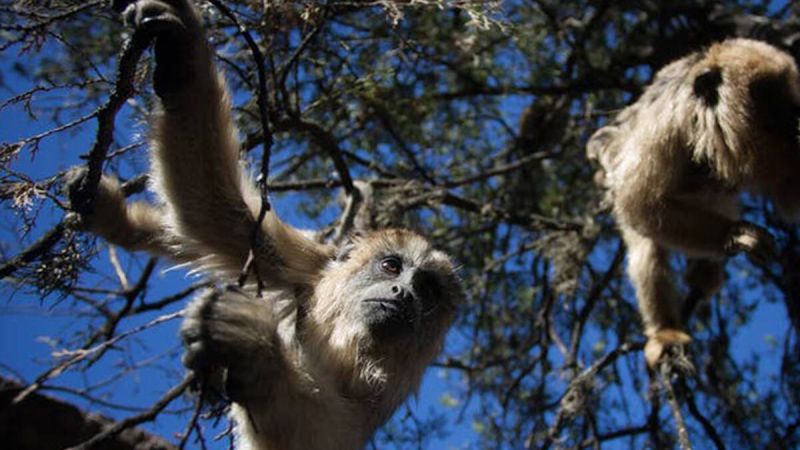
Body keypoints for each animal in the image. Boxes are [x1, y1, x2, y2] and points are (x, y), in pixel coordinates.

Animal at [65, 1, 465, 449]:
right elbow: (219, 216)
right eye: (391, 266)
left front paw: (254, 349)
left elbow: (323, 434)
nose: (403, 293)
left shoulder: (392, 382)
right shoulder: (311, 269)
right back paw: (111, 215)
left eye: (426, 290)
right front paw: (181, 50)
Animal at [586, 38, 800, 369]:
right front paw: (733, 236)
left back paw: (704, 273)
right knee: (647, 249)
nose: (794, 118)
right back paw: (666, 332)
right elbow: (639, 203)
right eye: (772, 102)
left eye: (789, 100)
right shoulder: (665, 127)